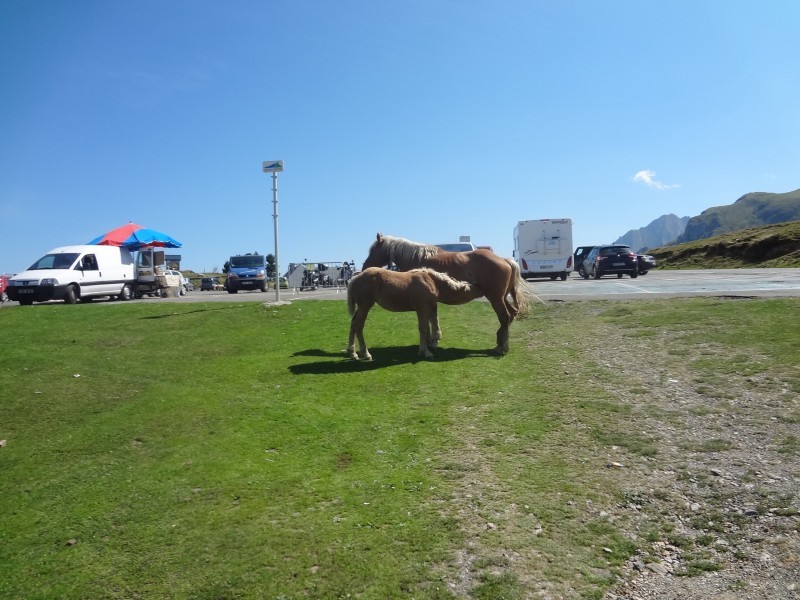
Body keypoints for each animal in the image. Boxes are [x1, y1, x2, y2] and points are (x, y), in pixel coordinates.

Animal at [346, 268, 484, 360]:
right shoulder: (422, 309)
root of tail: (355, 278)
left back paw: (353, 353)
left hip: (361, 308)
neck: (432, 282)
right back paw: (365, 353)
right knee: (358, 326)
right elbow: (423, 329)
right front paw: (426, 352)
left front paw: (429, 345)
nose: (483, 288)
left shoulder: (429, 308)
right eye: (474, 287)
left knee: (353, 324)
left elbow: (429, 328)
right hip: (365, 307)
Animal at [364, 233, 536, 356]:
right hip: (501, 298)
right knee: (511, 314)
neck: (419, 259)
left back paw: (500, 348)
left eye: (373, 250)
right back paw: (502, 343)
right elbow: (433, 319)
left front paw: (431, 343)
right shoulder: (430, 301)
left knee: (505, 317)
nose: (365, 266)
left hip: (495, 298)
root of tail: (505, 260)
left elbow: (429, 321)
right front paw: (433, 341)